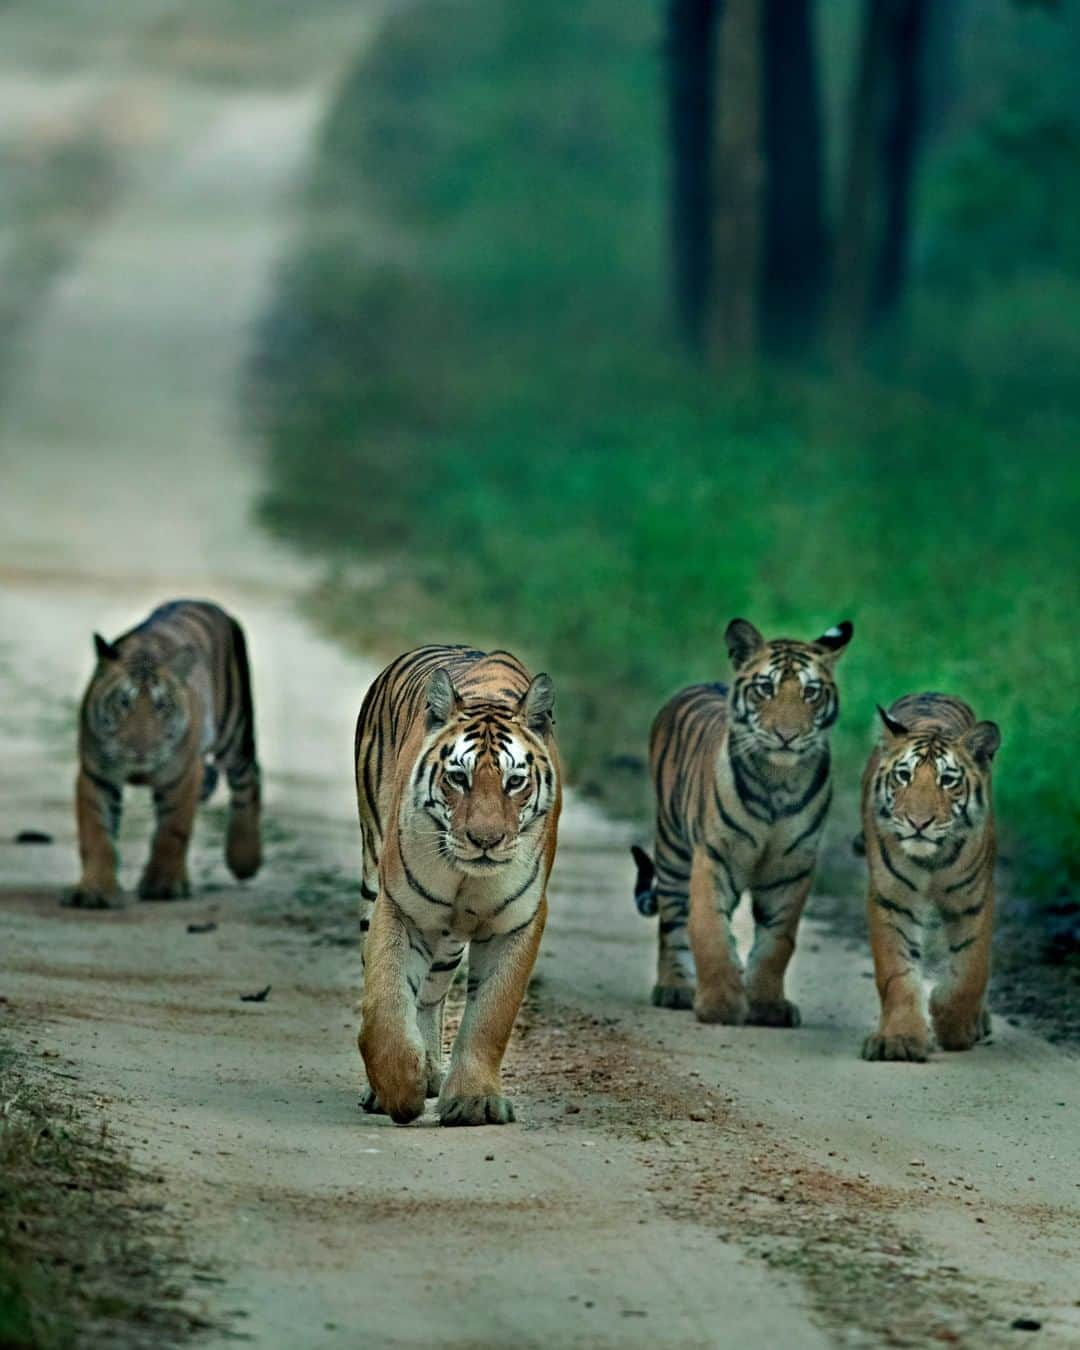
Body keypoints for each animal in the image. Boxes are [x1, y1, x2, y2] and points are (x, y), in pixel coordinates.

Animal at [69, 599, 261, 907]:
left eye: (162, 706)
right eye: (123, 702)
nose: (140, 749)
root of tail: (203, 602)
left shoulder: (181, 776)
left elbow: (172, 831)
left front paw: (163, 885)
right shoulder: (97, 775)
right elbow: (97, 834)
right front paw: (95, 890)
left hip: (235, 728)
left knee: (247, 778)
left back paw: (244, 859)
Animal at [353, 642, 561, 1128]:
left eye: (515, 782)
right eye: (458, 777)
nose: (485, 840)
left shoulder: (517, 922)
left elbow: (490, 1014)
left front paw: (473, 1102)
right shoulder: (400, 908)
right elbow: (385, 1004)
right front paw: (398, 1089)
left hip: (447, 938)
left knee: (432, 993)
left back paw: (432, 1068)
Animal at [631, 618, 853, 1020]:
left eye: (811, 692)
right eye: (766, 688)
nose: (787, 736)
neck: (779, 783)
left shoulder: (791, 869)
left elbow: (777, 942)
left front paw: (767, 1005)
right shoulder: (714, 856)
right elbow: (709, 930)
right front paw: (720, 1004)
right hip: (672, 850)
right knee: (672, 921)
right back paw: (674, 988)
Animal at [858, 696, 1004, 1063]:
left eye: (948, 780)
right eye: (904, 776)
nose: (918, 822)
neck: (932, 860)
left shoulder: (974, 900)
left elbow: (970, 970)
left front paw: (954, 1026)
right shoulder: (892, 899)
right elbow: (896, 972)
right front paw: (898, 1040)